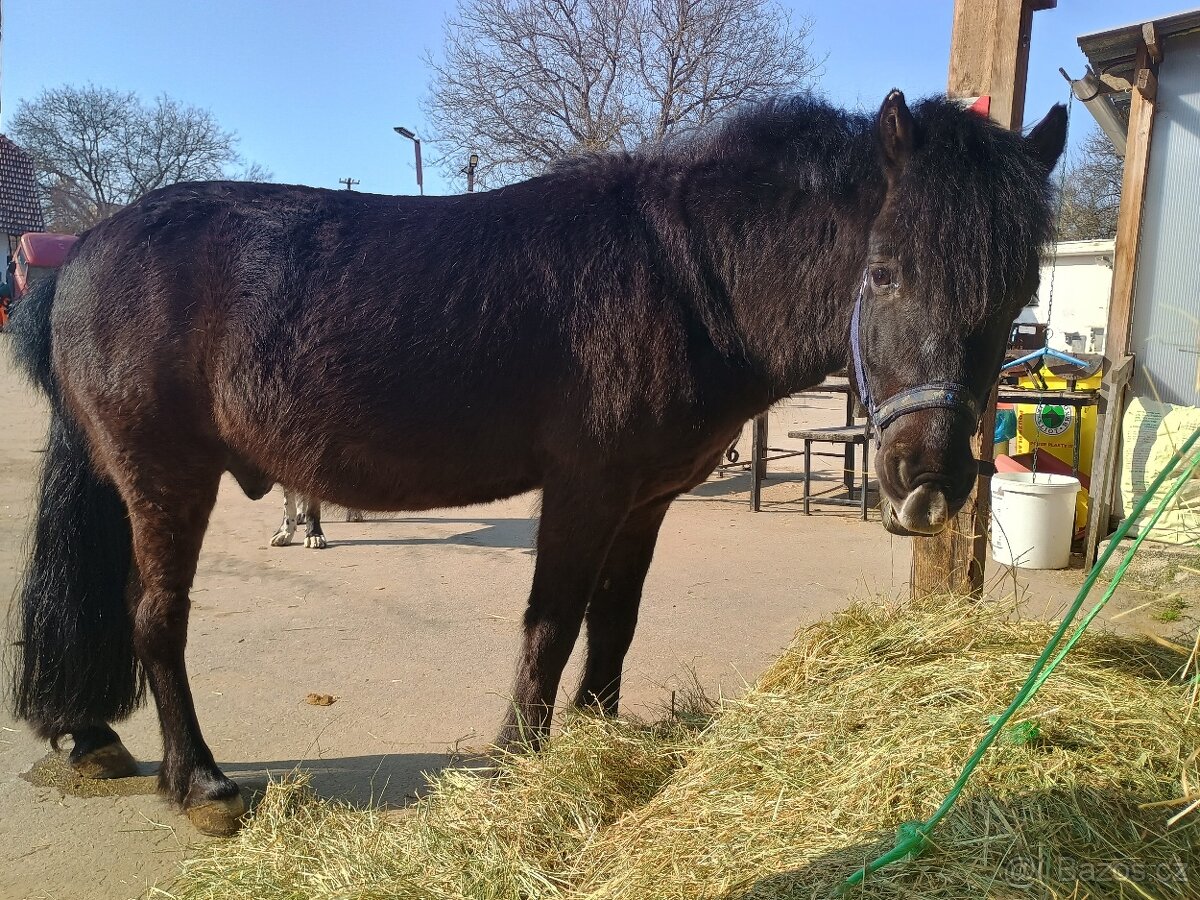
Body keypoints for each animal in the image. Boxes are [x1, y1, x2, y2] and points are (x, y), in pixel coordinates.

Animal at [7, 91, 1065, 836]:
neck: (685, 276)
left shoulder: (646, 499)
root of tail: (87, 248)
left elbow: (614, 622)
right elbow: (551, 624)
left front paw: (597, 739)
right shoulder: (586, 488)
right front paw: (522, 758)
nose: (930, 484)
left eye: (1019, 293)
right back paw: (200, 784)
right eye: (883, 273)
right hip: (166, 479)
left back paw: (93, 737)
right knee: (155, 617)